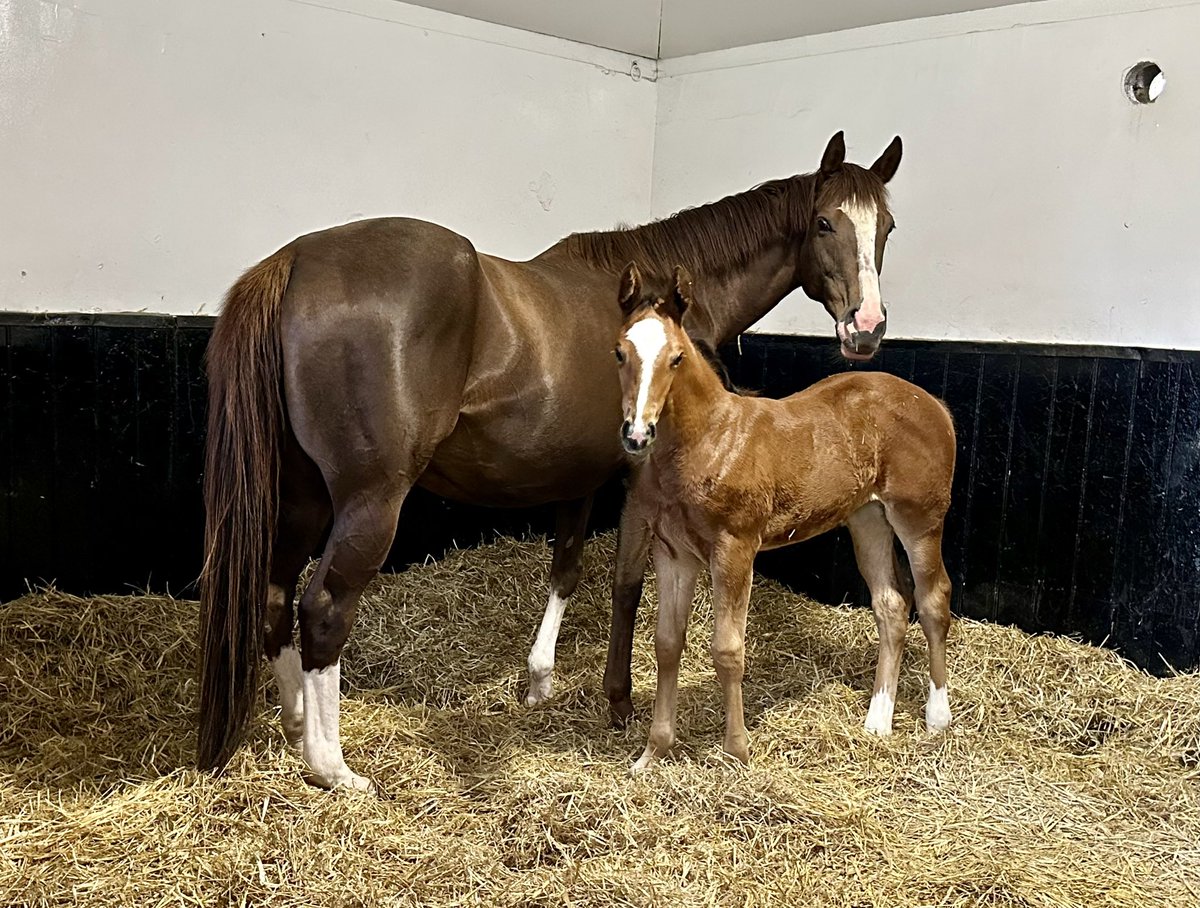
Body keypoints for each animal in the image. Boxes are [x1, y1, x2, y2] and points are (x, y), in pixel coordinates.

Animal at [619, 262, 955, 772]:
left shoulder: (735, 549)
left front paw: (737, 752)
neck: (710, 440)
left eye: (676, 358)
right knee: (892, 605)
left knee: (934, 599)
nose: (637, 433)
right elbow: (666, 644)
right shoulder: (673, 553)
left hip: (919, 518)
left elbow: (727, 650)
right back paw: (877, 721)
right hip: (868, 519)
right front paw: (652, 753)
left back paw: (937, 717)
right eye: (620, 352)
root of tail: (937, 405)